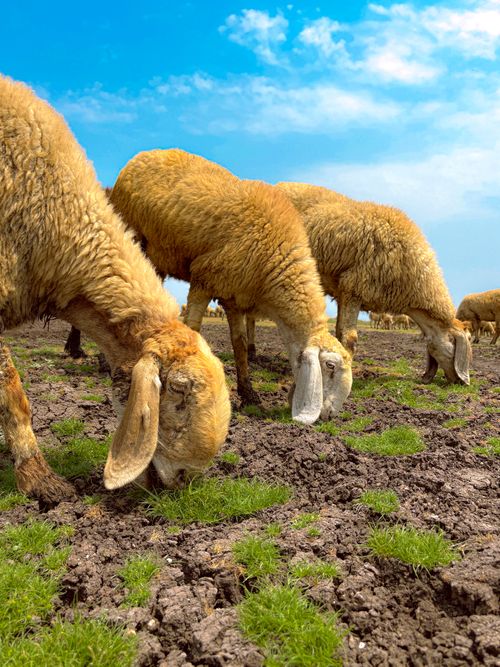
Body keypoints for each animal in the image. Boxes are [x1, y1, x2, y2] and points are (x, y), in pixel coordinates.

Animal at [109, 149, 353, 425]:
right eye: (330, 366)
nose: (329, 415)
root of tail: (143, 154)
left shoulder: (235, 296)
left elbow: (240, 344)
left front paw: (249, 395)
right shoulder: (203, 278)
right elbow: (192, 328)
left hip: (156, 255)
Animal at [272, 182, 472, 385]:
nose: (462, 383)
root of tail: (279, 185)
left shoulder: (345, 292)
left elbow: (340, 332)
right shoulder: (355, 288)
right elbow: (349, 338)